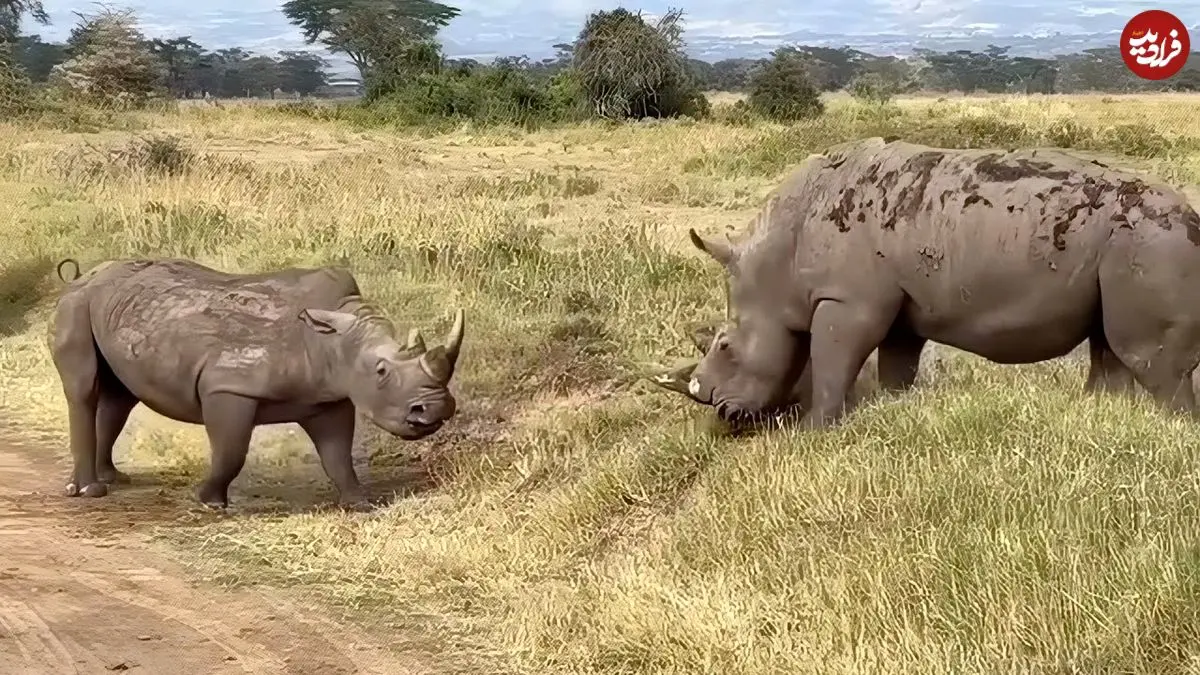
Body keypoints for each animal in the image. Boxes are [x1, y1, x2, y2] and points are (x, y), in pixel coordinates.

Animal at [49, 257, 465, 510]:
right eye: (381, 371)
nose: (436, 409)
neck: (334, 340)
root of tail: (82, 276)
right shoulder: (228, 386)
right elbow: (231, 451)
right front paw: (210, 502)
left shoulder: (330, 398)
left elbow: (337, 455)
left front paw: (359, 503)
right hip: (76, 305)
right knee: (84, 390)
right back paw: (90, 491)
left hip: (113, 310)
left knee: (119, 397)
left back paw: (113, 478)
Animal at [651, 136, 1200, 429]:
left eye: (724, 345)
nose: (721, 412)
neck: (774, 264)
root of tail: (1192, 218)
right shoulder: (897, 307)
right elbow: (897, 364)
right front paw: (893, 408)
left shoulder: (847, 302)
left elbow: (831, 364)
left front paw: (812, 431)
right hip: (1126, 249)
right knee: (1110, 344)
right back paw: (1099, 416)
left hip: (1154, 244)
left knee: (1149, 359)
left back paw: (1174, 429)